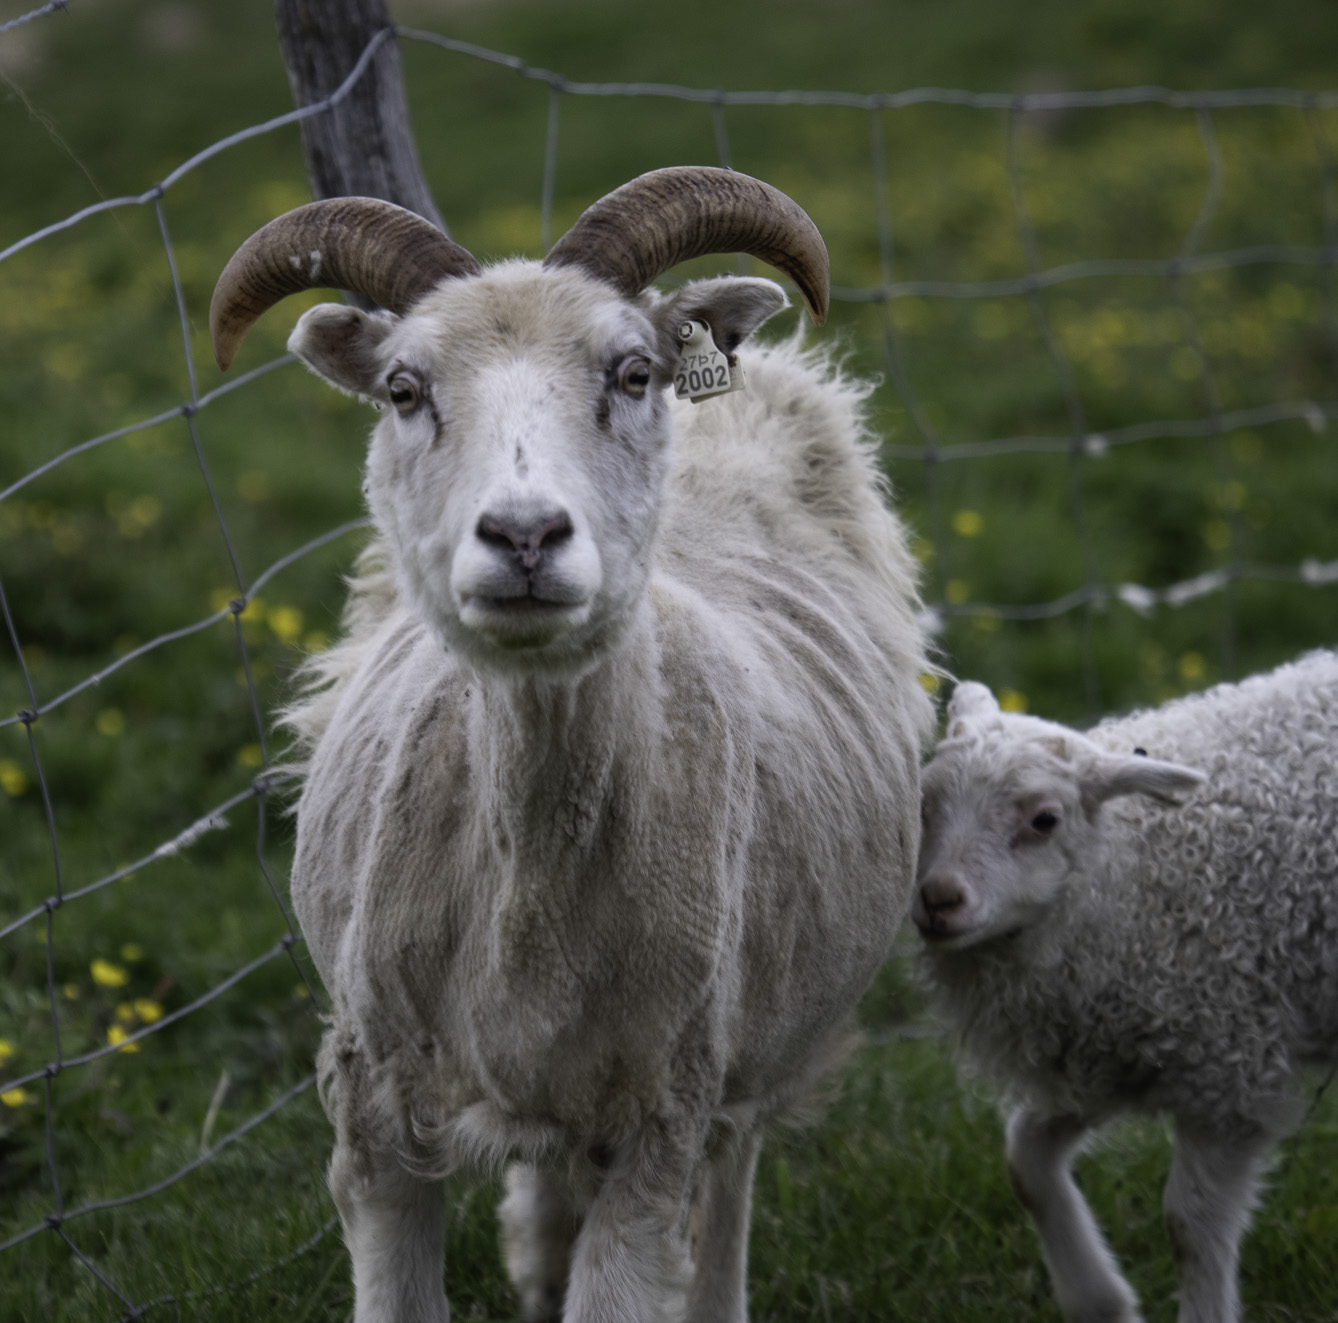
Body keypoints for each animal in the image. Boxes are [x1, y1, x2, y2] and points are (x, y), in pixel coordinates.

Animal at [211, 167, 941, 1321]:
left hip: (755, 1047)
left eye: (631, 372)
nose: (524, 536)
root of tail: (754, 376)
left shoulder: (660, 1119)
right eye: (404, 389)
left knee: (731, 1183)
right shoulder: (373, 1111)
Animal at [915, 655, 1338, 1321]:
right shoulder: (1098, 1049)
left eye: (1044, 820)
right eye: (923, 804)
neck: (1133, 870)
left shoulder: (1229, 1069)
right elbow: (1025, 1161)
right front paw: (1101, 1299)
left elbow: (1188, 1226)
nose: (938, 900)